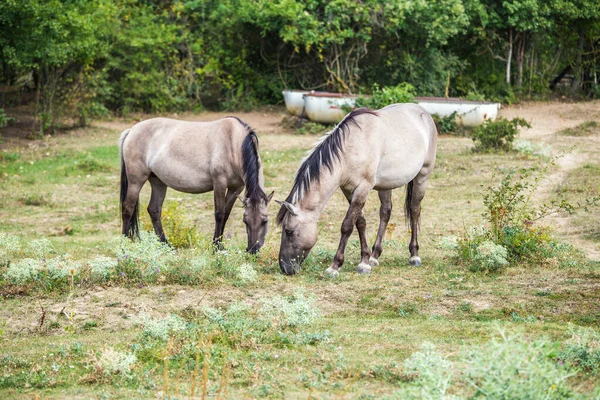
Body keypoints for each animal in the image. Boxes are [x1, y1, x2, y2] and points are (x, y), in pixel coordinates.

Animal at [119, 116, 274, 253]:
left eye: (265, 221)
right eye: (245, 221)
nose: (253, 250)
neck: (233, 144)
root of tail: (131, 131)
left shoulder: (236, 188)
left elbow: (226, 214)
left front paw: (220, 245)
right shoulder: (219, 182)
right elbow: (219, 214)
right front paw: (216, 247)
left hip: (158, 182)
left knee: (154, 210)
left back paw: (165, 245)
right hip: (136, 181)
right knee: (128, 208)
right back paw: (124, 244)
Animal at [276, 104, 436, 276]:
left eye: (289, 231)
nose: (284, 267)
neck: (351, 148)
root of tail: (422, 112)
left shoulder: (363, 188)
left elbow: (347, 225)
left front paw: (335, 266)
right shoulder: (348, 190)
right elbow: (360, 222)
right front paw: (365, 260)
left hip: (422, 177)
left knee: (414, 210)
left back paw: (414, 255)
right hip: (385, 185)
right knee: (385, 212)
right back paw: (374, 256)